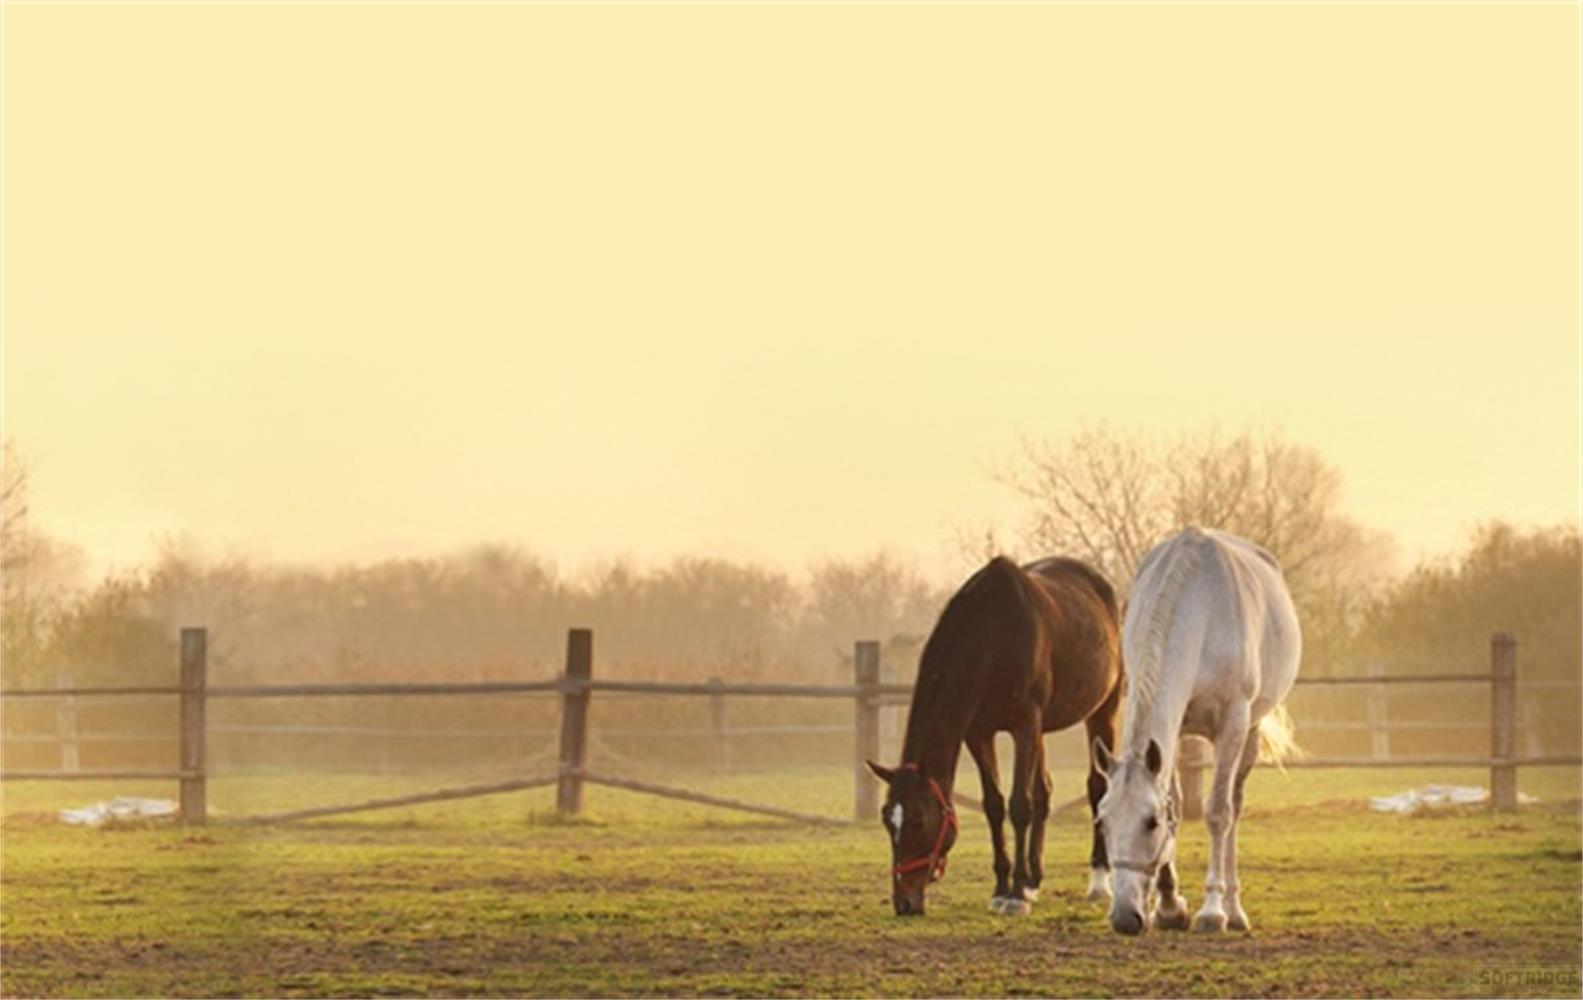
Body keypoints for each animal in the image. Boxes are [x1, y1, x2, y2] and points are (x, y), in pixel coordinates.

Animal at [865, 554, 1124, 917]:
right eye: (888, 820)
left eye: (918, 819)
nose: (904, 903)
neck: (993, 634)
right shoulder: (979, 733)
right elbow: (994, 805)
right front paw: (1004, 888)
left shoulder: (1025, 725)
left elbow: (1019, 806)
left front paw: (1014, 895)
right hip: (1042, 730)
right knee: (1044, 791)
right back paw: (1033, 880)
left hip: (1102, 711)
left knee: (1097, 787)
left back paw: (1099, 882)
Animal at [1092, 526, 1301, 935]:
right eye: (1102, 821)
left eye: (1150, 822)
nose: (1124, 917)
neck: (1200, 611)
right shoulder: (1172, 731)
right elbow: (1173, 797)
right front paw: (1170, 907)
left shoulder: (1233, 723)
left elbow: (1218, 812)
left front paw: (1212, 911)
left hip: (1249, 732)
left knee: (1234, 807)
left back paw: (1233, 910)